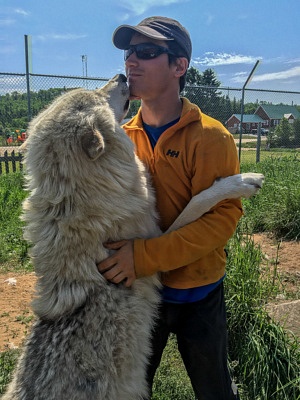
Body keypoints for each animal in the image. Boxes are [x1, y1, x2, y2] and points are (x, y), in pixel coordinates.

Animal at [3, 75, 264, 400]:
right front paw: (242, 181)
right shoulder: (159, 238)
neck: (80, 198)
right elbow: (199, 200)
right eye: (99, 95)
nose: (122, 76)